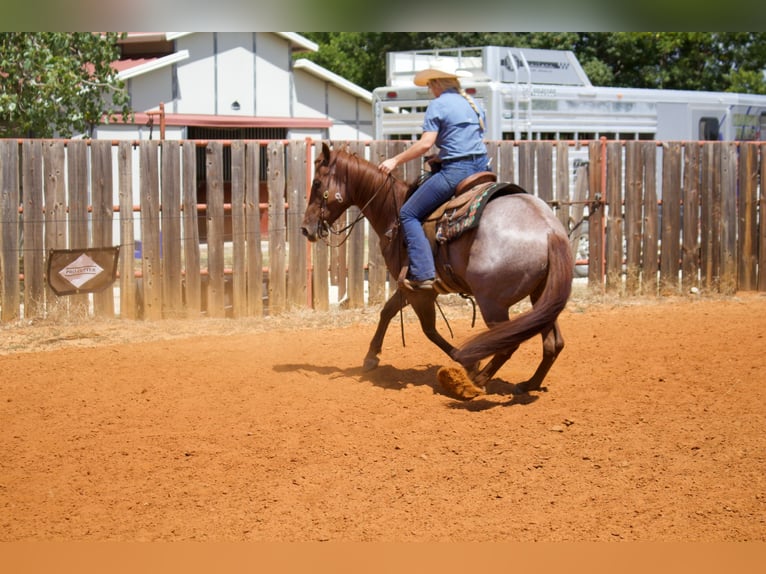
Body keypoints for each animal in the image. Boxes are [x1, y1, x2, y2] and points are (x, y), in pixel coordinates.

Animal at [304, 143, 572, 400]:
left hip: (493, 304)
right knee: (553, 343)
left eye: (317, 183)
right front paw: (371, 357)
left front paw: (469, 363)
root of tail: (550, 231)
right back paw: (528, 384)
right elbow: (387, 311)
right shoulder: (408, 286)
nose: (306, 228)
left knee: (507, 344)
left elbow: (429, 330)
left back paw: (471, 384)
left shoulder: (420, 291)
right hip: (541, 296)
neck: (394, 213)